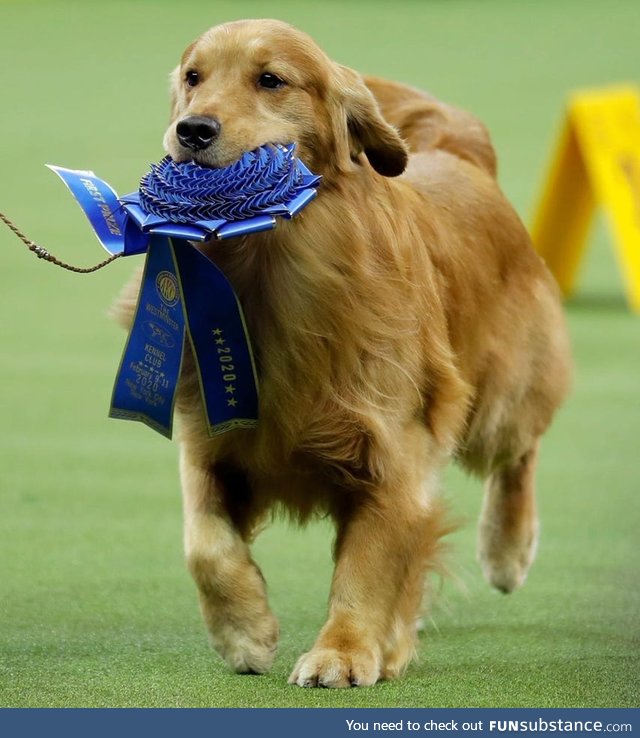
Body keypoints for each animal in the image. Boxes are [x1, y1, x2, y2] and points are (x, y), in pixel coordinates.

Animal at [112, 17, 572, 684]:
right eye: (194, 77)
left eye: (271, 80)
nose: (192, 130)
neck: (268, 266)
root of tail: (458, 152)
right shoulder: (209, 436)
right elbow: (204, 544)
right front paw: (243, 630)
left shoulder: (393, 449)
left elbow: (368, 566)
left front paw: (345, 652)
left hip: (500, 394)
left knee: (520, 451)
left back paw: (507, 549)